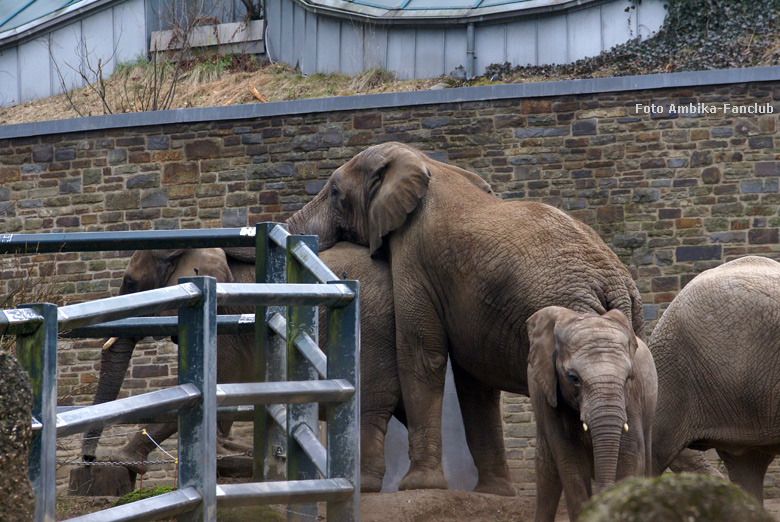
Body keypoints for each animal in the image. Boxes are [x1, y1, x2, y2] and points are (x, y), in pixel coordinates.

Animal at [80, 242, 402, 490]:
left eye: (131, 284)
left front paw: (121, 459)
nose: (89, 462)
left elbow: (211, 386)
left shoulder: (224, 323)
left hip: (374, 335)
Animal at [284, 140, 644, 494]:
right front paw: (493, 493)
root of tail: (617, 283)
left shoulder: (415, 255)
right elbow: (475, 380)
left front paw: (418, 486)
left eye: (334, 192)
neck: (425, 161)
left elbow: (422, 354)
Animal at [524, 304, 660, 520]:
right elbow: (570, 460)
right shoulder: (548, 397)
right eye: (573, 378)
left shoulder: (633, 397)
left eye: (628, 377)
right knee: (546, 474)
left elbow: (630, 452)